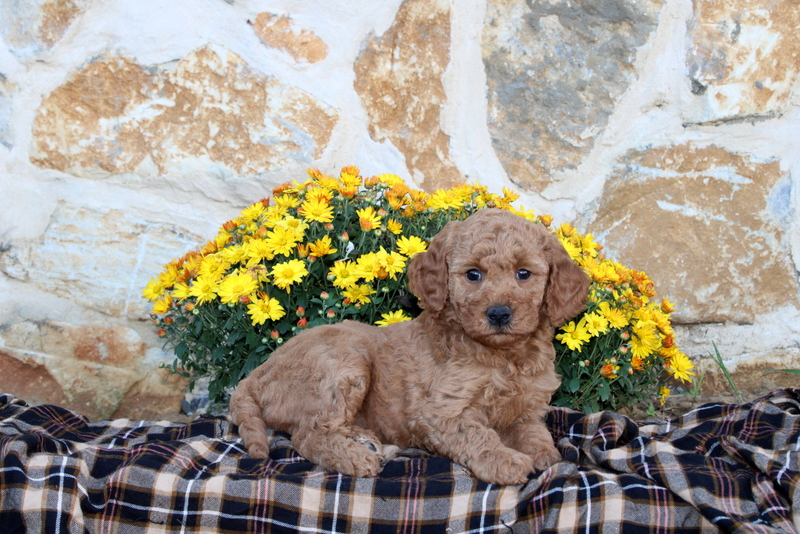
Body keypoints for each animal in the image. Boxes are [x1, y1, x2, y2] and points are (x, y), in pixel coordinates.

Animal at [231, 208, 588, 486]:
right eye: (473, 274)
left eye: (524, 273)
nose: (499, 313)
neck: (504, 356)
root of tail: (255, 375)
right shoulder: (440, 412)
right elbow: (478, 435)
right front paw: (505, 461)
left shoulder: (528, 408)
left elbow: (534, 432)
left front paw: (544, 454)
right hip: (345, 364)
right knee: (309, 434)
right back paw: (357, 458)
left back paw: (367, 442)